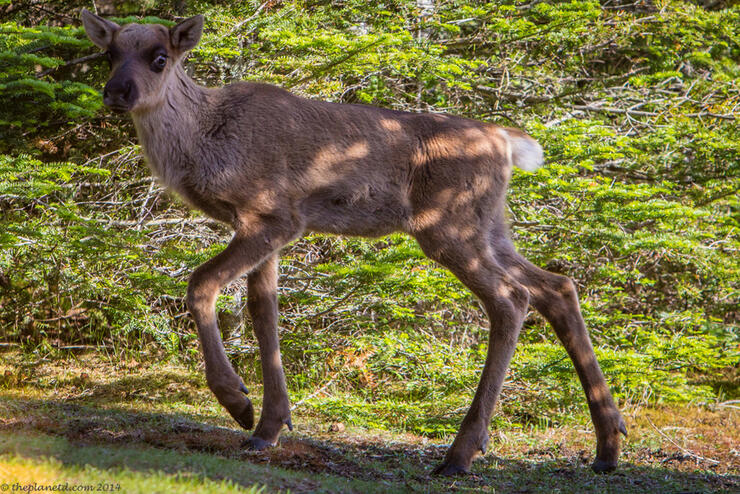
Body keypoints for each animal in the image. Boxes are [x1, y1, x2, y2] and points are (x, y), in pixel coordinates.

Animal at [79, 10, 624, 474]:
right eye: (110, 54)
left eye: (159, 57)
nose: (117, 92)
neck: (205, 144)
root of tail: (509, 142)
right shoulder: (267, 225)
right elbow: (264, 311)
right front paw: (269, 425)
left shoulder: (274, 216)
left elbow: (201, 284)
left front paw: (237, 401)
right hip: (491, 226)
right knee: (556, 285)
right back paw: (607, 445)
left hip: (447, 226)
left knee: (512, 298)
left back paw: (461, 453)